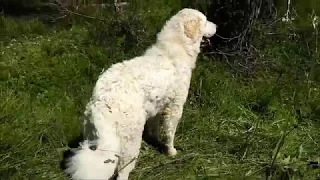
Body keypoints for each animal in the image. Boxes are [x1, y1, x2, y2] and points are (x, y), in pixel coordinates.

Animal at [63, 8, 216, 180]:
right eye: (205, 21)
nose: (216, 26)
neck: (174, 49)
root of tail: (100, 103)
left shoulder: (157, 107)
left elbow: (154, 128)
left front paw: (155, 141)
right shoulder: (174, 108)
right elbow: (170, 134)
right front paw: (171, 152)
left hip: (94, 137)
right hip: (130, 143)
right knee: (122, 172)